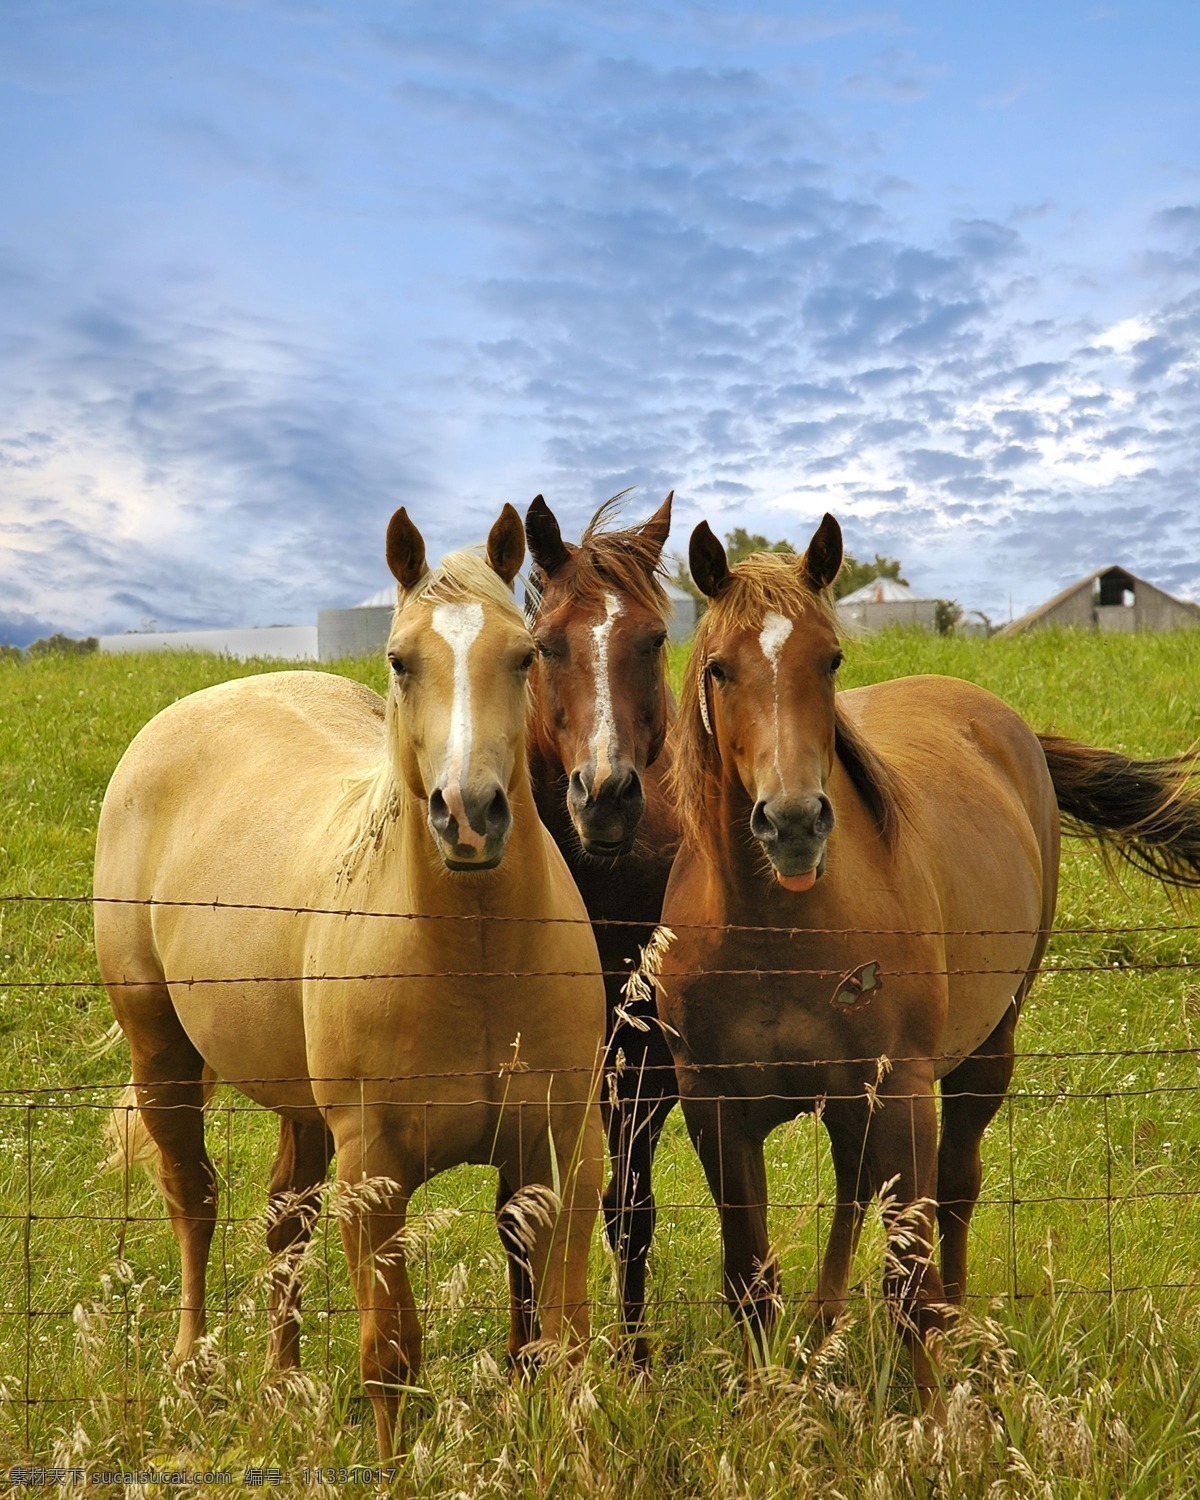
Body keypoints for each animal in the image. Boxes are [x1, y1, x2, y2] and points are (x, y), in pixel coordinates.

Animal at [96, 507, 609, 1452]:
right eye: (401, 659)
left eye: (525, 656)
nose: (469, 815)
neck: (474, 957)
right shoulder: (374, 1174)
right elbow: (391, 1355)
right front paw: (395, 1464)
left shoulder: (565, 1150)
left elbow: (565, 1340)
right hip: (163, 1057)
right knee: (195, 1200)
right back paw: (192, 1374)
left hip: (297, 1108)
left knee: (282, 1219)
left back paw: (281, 1382)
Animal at [657, 519, 1200, 1404]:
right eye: (717, 667)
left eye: (831, 659)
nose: (794, 822)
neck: (777, 930)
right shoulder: (714, 1107)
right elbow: (749, 1278)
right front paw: (768, 1406)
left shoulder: (904, 1094)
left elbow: (907, 1280)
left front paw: (931, 1416)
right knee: (855, 1190)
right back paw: (827, 1326)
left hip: (985, 1051)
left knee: (956, 1190)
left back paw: (954, 1322)